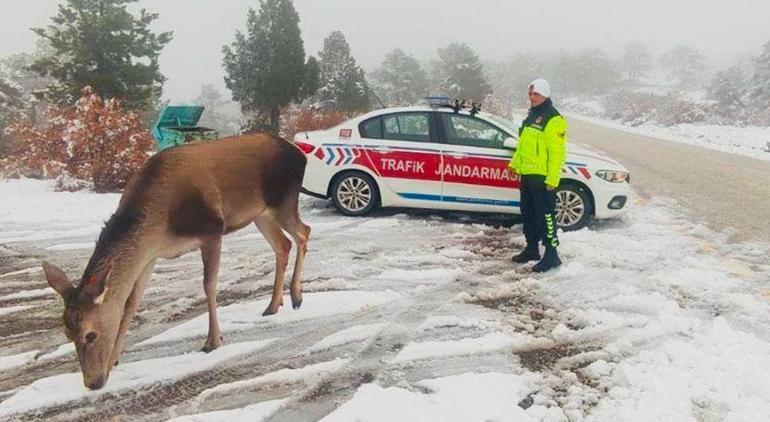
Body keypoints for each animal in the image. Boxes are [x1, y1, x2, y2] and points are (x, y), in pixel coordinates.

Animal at [40, 134, 310, 390]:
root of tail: (299, 154)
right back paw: (274, 304)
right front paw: (115, 358)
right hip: (260, 213)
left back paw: (296, 296)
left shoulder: (212, 229)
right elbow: (131, 303)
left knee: (304, 232)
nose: (92, 382)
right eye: (67, 333)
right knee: (283, 245)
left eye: (91, 335)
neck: (161, 225)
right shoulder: (150, 256)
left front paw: (212, 341)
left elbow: (209, 285)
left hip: (284, 201)